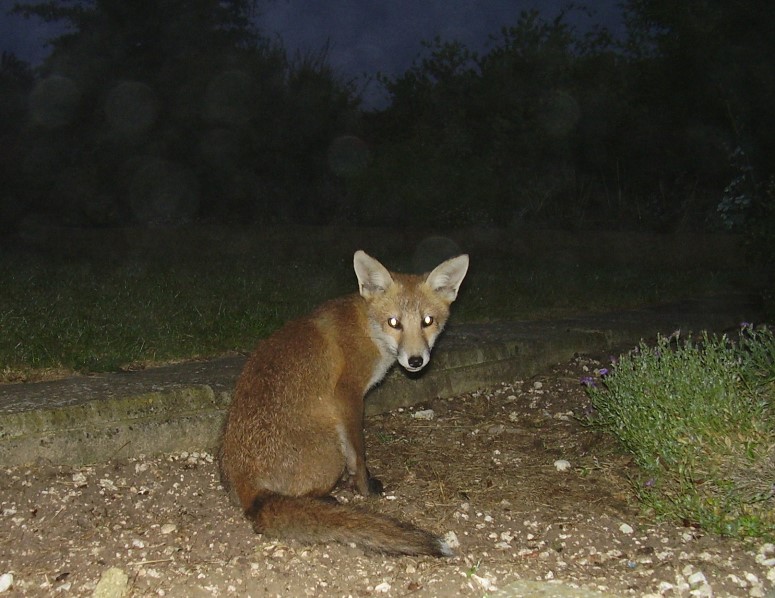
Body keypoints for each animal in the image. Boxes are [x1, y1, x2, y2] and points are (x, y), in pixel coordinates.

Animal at [221, 248, 470, 556]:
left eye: (428, 321)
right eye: (394, 322)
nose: (415, 361)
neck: (368, 330)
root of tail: (248, 487)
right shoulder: (347, 395)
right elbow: (359, 452)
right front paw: (365, 488)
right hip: (332, 449)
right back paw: (325, 500)